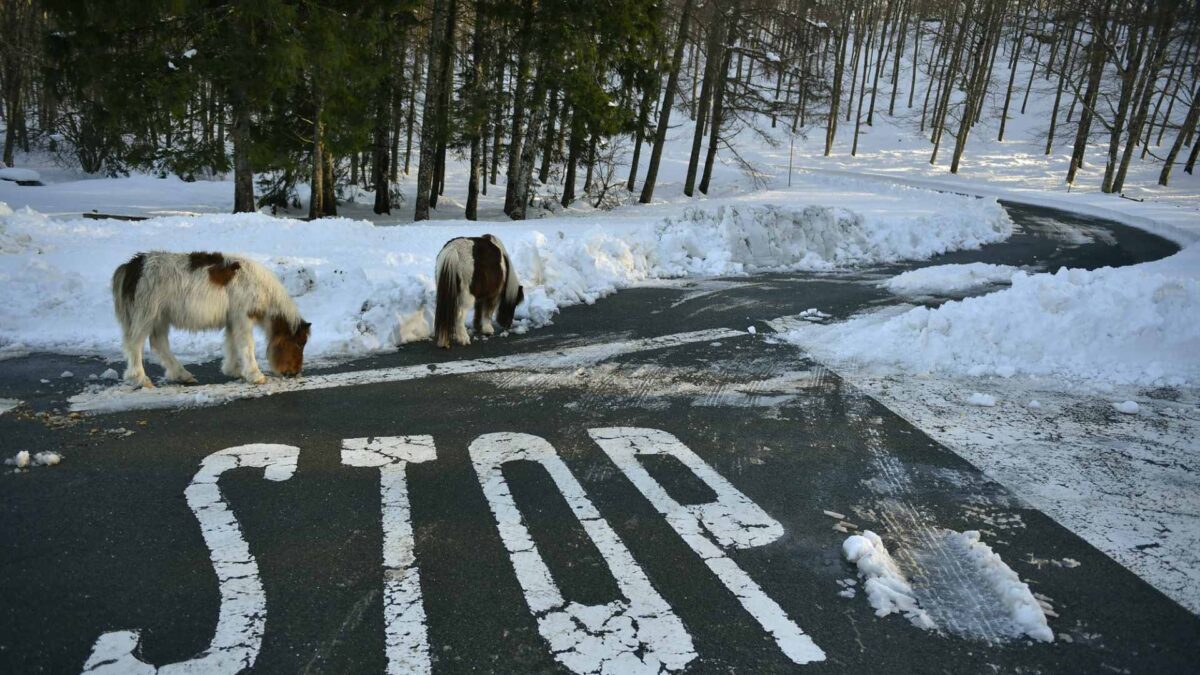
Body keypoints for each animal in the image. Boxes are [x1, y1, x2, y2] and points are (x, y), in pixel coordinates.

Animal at [111, 251, 314, 386]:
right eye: (299, 343)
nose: (295, 373)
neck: (257, 285)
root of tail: (133, 266)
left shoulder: (233, 320)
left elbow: (232, 344)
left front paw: (234, 371)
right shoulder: (242, 318)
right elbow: (246, 346)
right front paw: (256, 375)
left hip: (160, 318)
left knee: (159, 344)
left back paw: (182, 374)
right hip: (146, 316)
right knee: (134, 346)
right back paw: (140, 379)